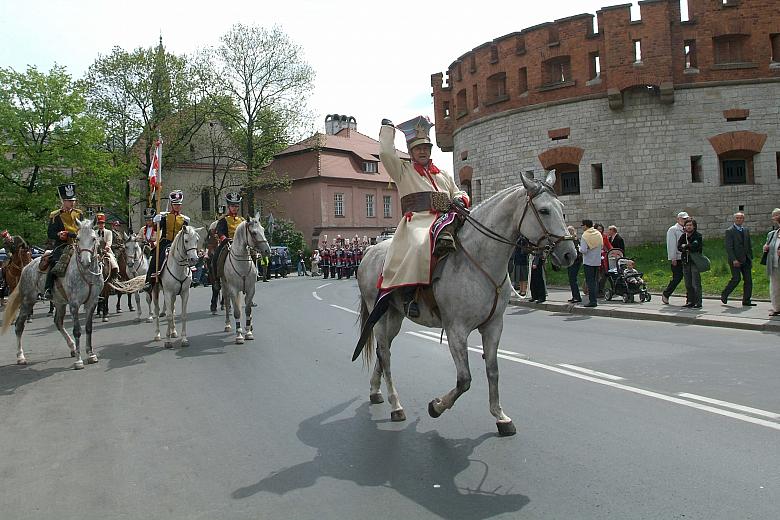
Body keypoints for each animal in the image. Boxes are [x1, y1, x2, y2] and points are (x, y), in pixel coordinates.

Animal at [1, 219, 105, 370]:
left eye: (93, 238)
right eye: (78, 239)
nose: (86, 262)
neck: (86, 275)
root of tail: (26, 267)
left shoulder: (92, 303)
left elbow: (89, 328)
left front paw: (91, 355)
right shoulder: (74, 304)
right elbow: (77, 330)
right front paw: (79, 361)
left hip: (59, 302)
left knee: (58, 322)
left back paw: (72, 347)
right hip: (27, 301)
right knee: (19, 326)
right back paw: (20, 357)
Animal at [219, 213, 272, 344]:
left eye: (263, 229)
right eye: (253, 233)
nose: (267, 251)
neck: (241, 263)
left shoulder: (251, 289)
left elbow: (248, 310)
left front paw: (248, 332)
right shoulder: (233, 290)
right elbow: (237, 312)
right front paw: (239, 335)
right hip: (225, 286)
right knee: (227, 303)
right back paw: (228, 325)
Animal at [356, 171, 576, 434]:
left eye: (562, 209)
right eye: (543, 210)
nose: (570, 254)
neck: (479, 259)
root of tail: (370, 251)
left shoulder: (494, 326)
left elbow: (493, 371)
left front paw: (500, 416)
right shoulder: (456, 330)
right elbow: (464, 380)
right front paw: (437, 406)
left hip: (394, 317)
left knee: (383, 351)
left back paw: (375, 391)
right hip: (378, 317)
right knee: (386, 355)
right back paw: (396, 405)